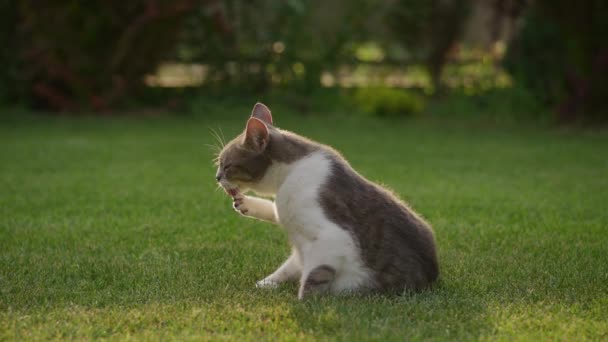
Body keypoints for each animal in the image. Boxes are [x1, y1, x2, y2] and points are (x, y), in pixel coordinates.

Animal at [216, 102, 440, 300]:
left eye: (227, 166)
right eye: (219, 164)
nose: (217, 177)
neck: (287, 176)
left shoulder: (331, 238)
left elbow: (313, 278)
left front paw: (303, 303)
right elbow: (278, 220)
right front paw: (246, 204)